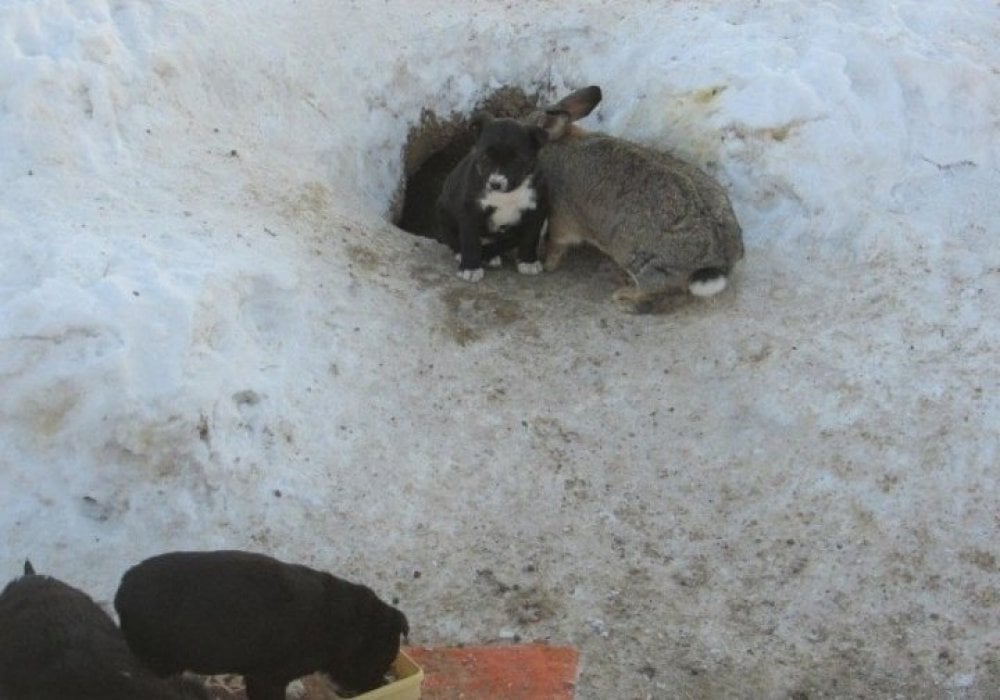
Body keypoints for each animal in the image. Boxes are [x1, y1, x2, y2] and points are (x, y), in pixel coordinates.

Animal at [436, 112, 548, 282]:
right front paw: (470, 267)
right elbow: (470, 240)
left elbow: (530, 237)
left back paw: (490, 256)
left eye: (516, 160)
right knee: (455, 240)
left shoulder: (535, 210)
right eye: (485, 157)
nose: (495, 184)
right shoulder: (470, 210)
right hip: (444, 213)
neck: (507, 195)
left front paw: (528, 262)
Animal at [532, 86, 744, 310]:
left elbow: (555, 242)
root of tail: (718, 263)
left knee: (658, 293)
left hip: (641, 260)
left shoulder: (560, 216)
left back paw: (626, 298)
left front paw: (547, 265)